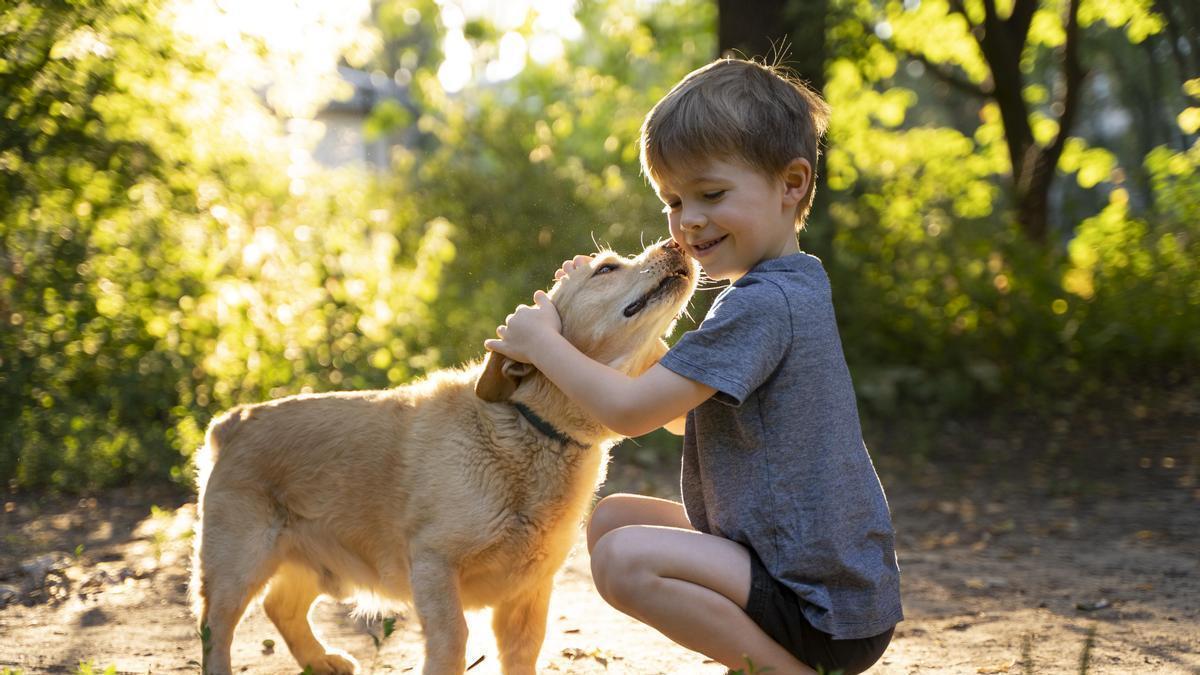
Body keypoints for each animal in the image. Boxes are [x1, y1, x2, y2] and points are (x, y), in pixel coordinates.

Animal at [192, 240, 700, 672]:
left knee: (281, 608)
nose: (676, 243)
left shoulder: (530, 591)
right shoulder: (434, 565)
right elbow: (454, 639)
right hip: (237, 566)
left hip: (313, 564)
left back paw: (322, 661)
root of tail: (234, 420)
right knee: (215, 630)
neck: (532, 430)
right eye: (606, 269)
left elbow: (523, 653)